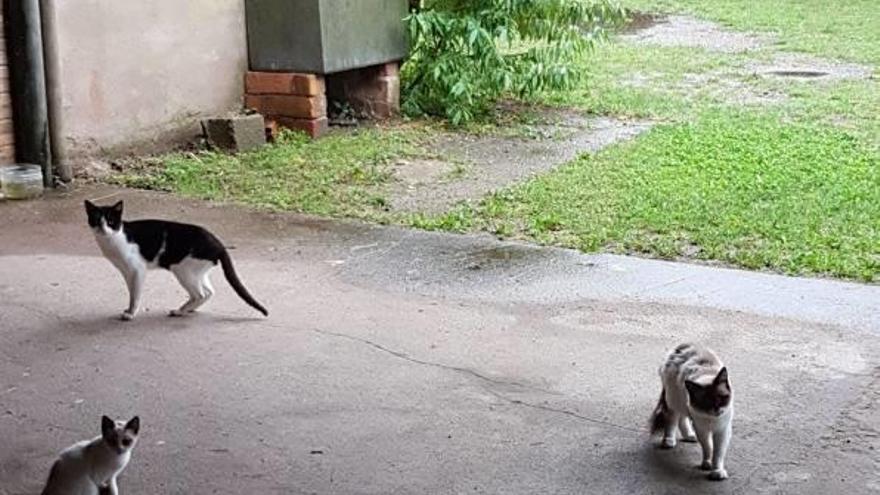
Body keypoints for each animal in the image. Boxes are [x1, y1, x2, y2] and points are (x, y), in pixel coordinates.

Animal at [85, 200, 268, 320]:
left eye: (110, 221)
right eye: (96, 221)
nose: (102, 228)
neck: (114, 239)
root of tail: (219, 245)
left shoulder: (137, 270)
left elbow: (135, 294)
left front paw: (130, 313)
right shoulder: (126, 272)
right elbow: (131, 291)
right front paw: (129, 309)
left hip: (182, 270)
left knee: (200, 294)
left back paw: (179, 312)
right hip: (197, 272)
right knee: (209, 292)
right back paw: (187, 310)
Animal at [648, 344, 732, 480]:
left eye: (720, 398)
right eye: (706, 403)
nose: (717, 410)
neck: (712, 420)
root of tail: (681, 346)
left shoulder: (722, 431)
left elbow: (718, 453)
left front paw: (717, 471)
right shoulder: (701, 429)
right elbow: (708, 447)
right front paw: (707, 463)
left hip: (683, 402)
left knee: (682, 418)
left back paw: (689, 436)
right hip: (674, 400)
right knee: (673, 419)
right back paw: (669, 441)